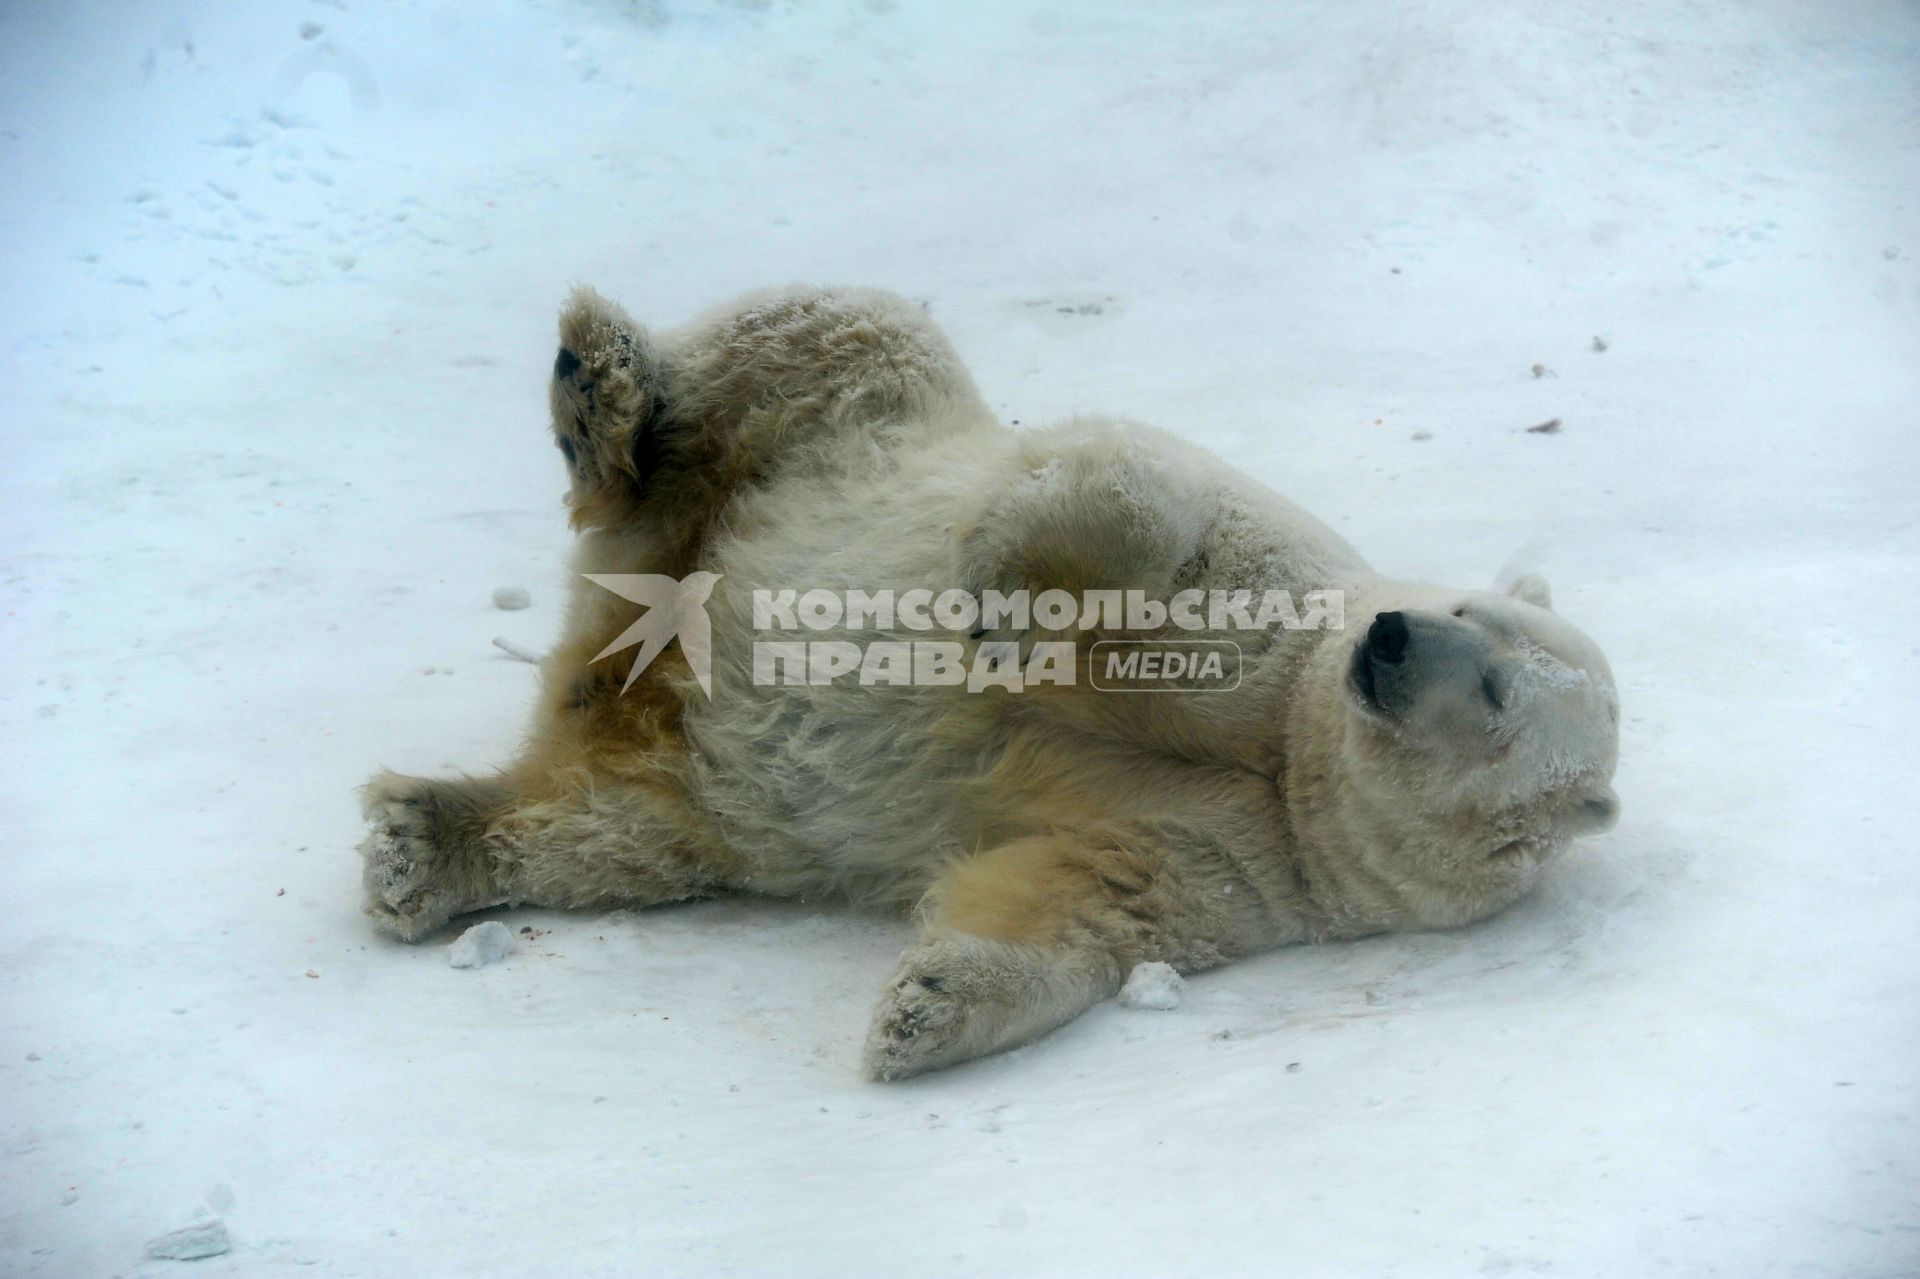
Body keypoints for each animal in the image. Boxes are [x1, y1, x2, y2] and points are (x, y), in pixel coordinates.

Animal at [360, 286, 1620, 1075]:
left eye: (1498, 699)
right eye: (1478, 612)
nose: (1392, 639)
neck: (1287, 752)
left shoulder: (1264, 863)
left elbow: (1085, 898)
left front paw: (921, 1017)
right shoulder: (1279, 618)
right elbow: (1154, 508)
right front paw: (994, 607)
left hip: (682, 770)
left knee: (613, 830)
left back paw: (423, 847)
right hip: (815, 446)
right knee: (823, 340)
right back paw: (602, 378)